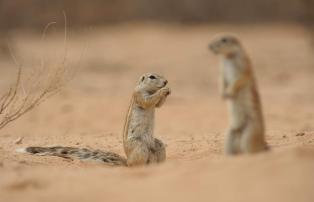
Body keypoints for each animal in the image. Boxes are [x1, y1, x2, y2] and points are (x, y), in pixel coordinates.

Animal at [17, 72, 169, 166]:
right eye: (152, 76)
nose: (166, 81)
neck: (148, 89)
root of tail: (127, 161)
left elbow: (158, 105)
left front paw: (167, 91)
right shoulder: (139, 94)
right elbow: (147, 101)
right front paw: (164, 91)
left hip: (158, 144)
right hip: (139, 146)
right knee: (135, 164)